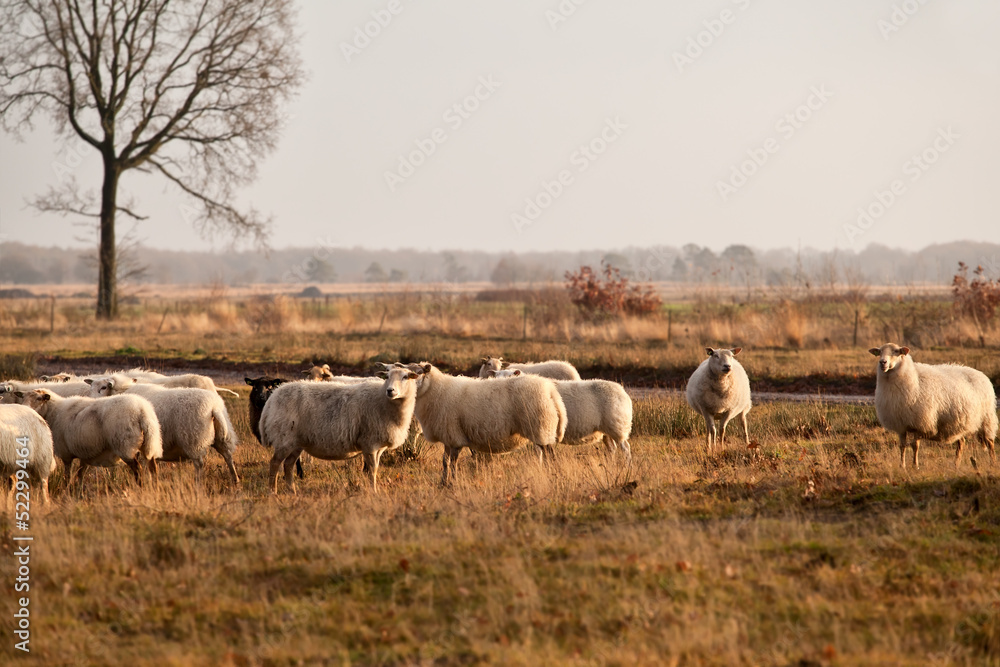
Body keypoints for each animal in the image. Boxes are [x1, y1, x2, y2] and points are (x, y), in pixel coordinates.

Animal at [17, 389, 162, 490]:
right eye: (23, 397)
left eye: (39, 398)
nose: (25, 408)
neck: (54, 411)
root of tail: (141, 411)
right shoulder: (85, 452)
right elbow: (80, 474)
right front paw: (79, 492)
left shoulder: (66, 454)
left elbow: (68, 475)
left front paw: (68, 489)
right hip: (149, 443)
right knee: (153, 467)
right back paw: (155, 488)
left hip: (125, 445)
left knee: (138, 469)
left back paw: (141, 488)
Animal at [88, 377, 239, 484]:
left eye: (103, 387)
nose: (91, 401)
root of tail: (214, 407)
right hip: (221, 436)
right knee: (228, 456)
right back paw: (235, 480)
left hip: (193, 438)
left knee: (199, 464)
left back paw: (198, 484)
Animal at [260, 367, 420, 493]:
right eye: (386, 377)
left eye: (405, 377)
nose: (390, 391)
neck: (383, 401)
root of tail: (273, 398)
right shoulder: (369, 443)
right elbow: (372, 469)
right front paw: (373, 491)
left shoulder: (378, 446)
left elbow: (374, 468)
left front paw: (373, 489)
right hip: (284, 438)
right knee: (274, 463)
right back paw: (272, 492)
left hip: (296, 442)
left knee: (288, 465)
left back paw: (291, 491)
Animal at [412, 364, 567, 484]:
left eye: (419, 373)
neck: (438, 390)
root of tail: (550, 391)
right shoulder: (448, 437)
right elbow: (445, 461)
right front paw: (443, 483)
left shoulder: (454, 435)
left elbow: (453, 462)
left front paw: (452, 483)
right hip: (542, 429)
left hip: (540, 426)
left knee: (549, 455)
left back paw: (552, 474)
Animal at [869, 343, 997, 468]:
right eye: (880, 352)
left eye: (896, 351)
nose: (882, 362)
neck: (913, 378)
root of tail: (980, 374)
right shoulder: (901, 424)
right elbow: (902, 446)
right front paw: (902, 466)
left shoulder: (920, 423)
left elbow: (915, 445)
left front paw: (915, 466)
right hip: (959, 422)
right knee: (961, 443)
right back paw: (956, 465)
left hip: (986, 418)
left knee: (990, 442)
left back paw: (992, 463)